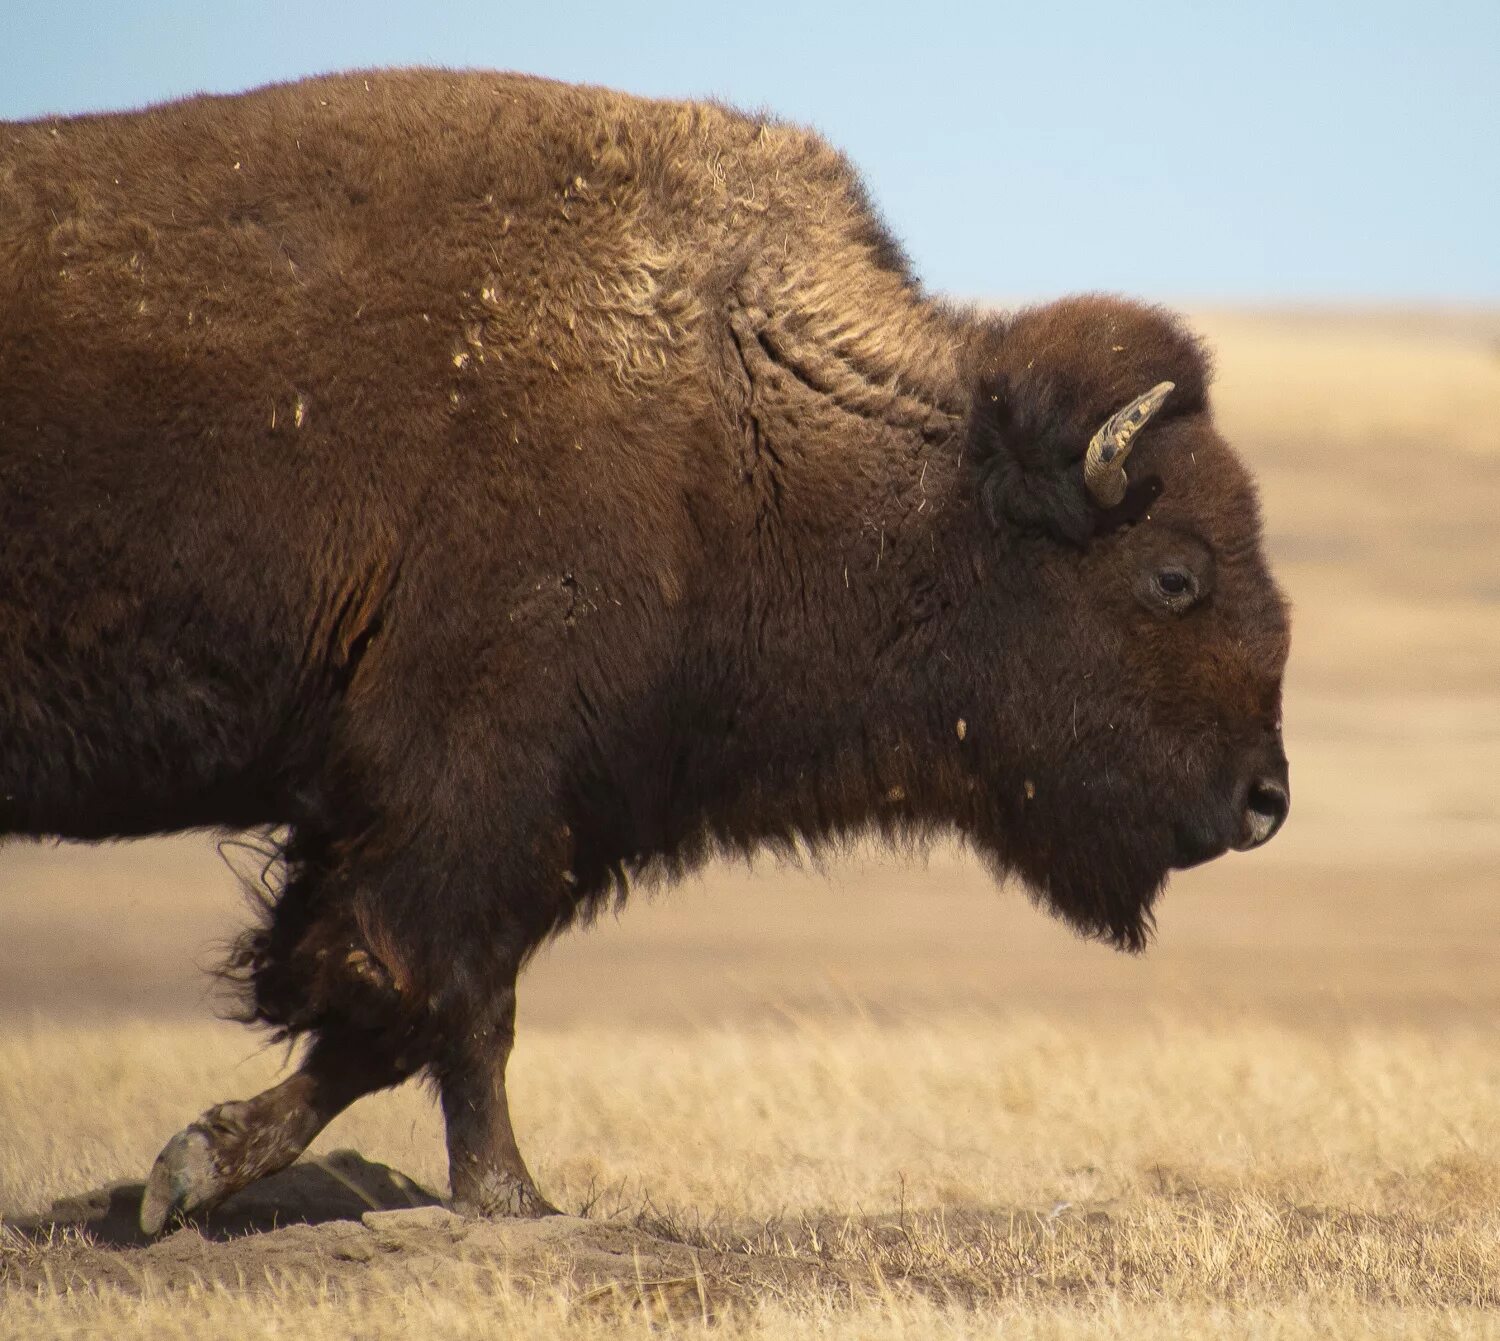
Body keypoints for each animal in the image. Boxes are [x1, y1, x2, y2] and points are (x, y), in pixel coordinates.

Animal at [0, 68, 1290, 1236]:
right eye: (1175, 576)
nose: (1266, 800)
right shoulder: (470, 792)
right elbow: (429, 999)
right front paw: (472, 1198)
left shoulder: (532, 818)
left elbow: (424, 1013)